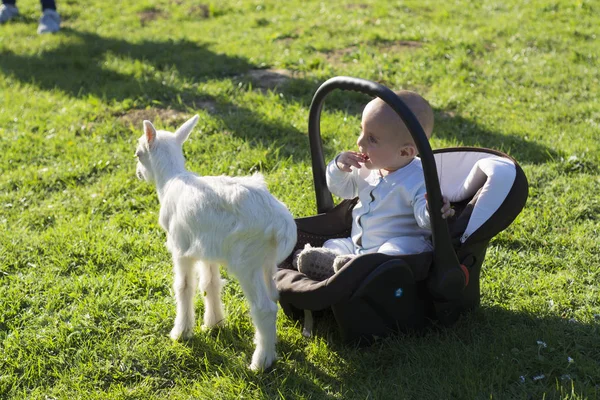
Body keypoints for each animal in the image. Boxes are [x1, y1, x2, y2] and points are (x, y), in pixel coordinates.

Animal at [135, 114, 296, 370]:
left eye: (138, 154)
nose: (138, 174)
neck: (171, 180)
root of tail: (282, 223)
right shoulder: (206, 247)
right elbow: (210, 284)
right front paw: (214, 323)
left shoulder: (180, 248)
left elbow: (184, 287)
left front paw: (181, 333)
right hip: (266, 261)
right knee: (274, 296)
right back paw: (268, 346)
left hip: (246, 262)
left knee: (265, 308)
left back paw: (260, 363)